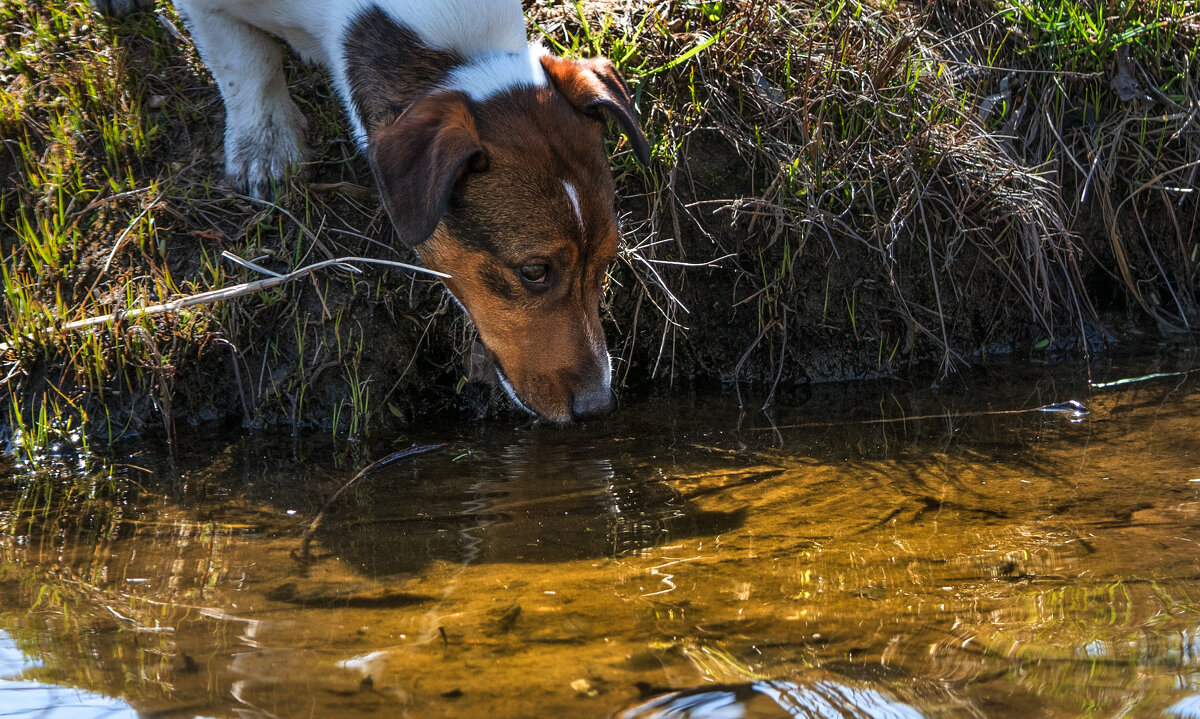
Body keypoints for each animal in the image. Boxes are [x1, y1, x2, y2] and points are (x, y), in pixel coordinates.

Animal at [94, 0, 652, 422]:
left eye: (608, 260)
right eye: (534, 270)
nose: (598, 408)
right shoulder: (210, 11)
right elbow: (245, 66)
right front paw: (265, 146)